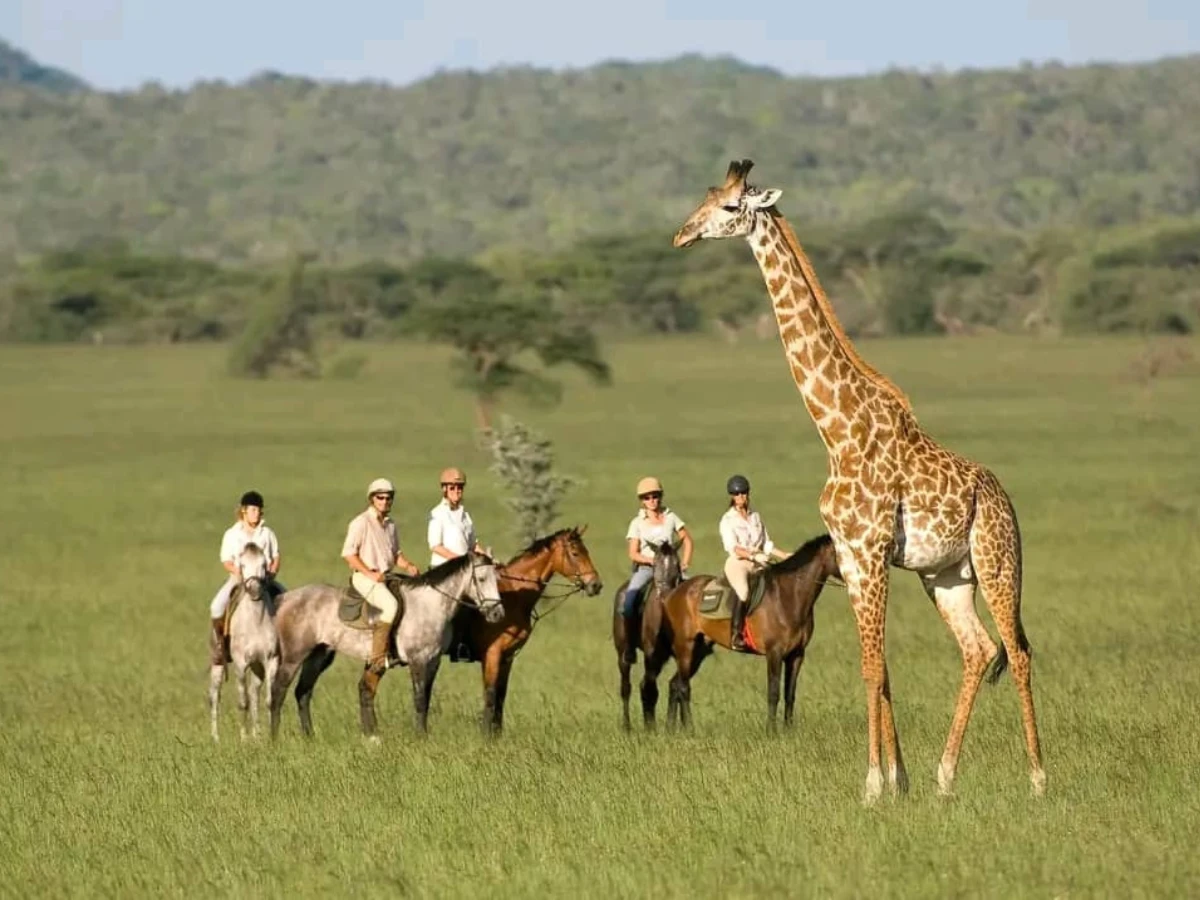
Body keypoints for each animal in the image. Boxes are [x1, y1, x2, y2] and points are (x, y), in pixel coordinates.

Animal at [208, 542, 280, 742]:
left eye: (264, 563)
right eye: (242, 565)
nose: (254, 590)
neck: (255, 621)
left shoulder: (270, 661)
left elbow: (269, 701)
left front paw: (271, 738)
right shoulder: (241, 664)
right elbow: (243, 702)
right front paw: (243, 739)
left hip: (257, 667)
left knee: (255, 694)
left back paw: (258, 735)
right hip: (218, 664)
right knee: (214, 696)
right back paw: (216, 738)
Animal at [267, 550, 503, 740]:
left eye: (497, 579)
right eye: (481, 579)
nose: (497, 614)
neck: (430, 605)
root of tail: (287, 597)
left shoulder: (433, 661)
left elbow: (426, 699)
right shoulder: (418, 660)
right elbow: (419, 698)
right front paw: (420, 738)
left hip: (319, 656)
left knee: (303, 692)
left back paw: (310, 737)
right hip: (294, 656)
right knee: (278, 692)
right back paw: (274, 739)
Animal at [446, 526, 604, 734]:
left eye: (587, 551)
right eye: (575, 553)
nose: (596, 585)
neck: (513, 597)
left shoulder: (507, 656)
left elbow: (501, 695)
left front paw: (496, 735)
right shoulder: (492, 654)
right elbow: (490, 694)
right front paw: (486, 735)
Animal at [611, 541, 684, 731]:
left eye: (677, 564)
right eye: (655, 564)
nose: (664, 594)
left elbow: (677, 685)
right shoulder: (651, 653)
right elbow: (651, 689)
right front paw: (651, 727)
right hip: (623, 654)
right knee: (627, 687)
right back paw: (627, 727)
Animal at [643, 533, 841, 731]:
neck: (788, 597)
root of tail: (672, 593)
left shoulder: (797, 654)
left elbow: (790, 695)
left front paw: (788, 730)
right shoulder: (774, 653)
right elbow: (774, 693)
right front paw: (771, 731)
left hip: (698, 651)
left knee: (675, 684)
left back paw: (673, 728)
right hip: (685, 647)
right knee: (683, 687)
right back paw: (690, 729)